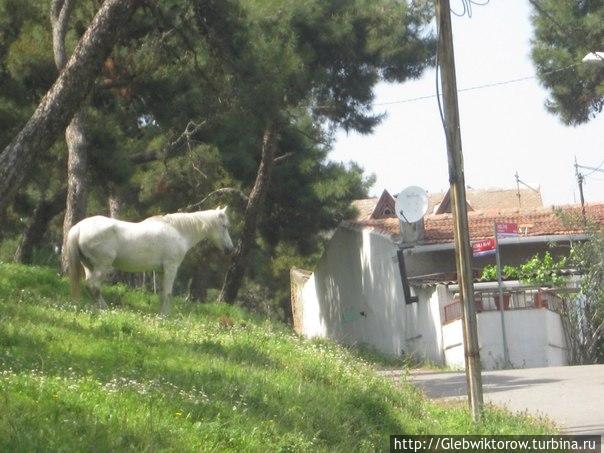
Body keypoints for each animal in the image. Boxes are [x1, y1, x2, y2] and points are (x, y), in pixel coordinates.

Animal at [65, 206, 235, 314]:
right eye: (225, 226)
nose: (230, 249)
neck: (178, 231)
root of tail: (79, 228)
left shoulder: (161, 271)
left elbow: (162, 294)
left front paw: (161, 314)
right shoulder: (171, 267)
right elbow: (168, 293)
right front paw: (165, 316)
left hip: (89, 266)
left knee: (91, 286)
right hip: (102, 266)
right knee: (93, 285)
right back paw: (105, 309)